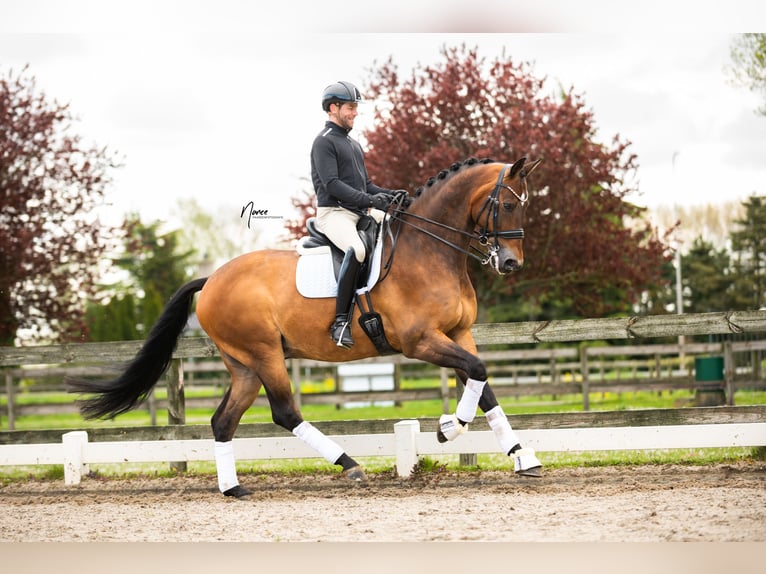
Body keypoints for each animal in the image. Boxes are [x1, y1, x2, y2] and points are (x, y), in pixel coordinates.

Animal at [66, 158, 544, 500]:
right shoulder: (421, 341)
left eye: (525, 204)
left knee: (223, 421)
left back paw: (233, 488)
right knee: (284, 412)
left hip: (244, 365)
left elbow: (484, 387)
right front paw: (448, 428)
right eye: (507, 204)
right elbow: (478, 375)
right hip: (264, 354)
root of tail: (213, 278)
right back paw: (349, 464)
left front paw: (523, 458)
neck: (429, 251)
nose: (510, 263)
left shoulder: (458, 334)